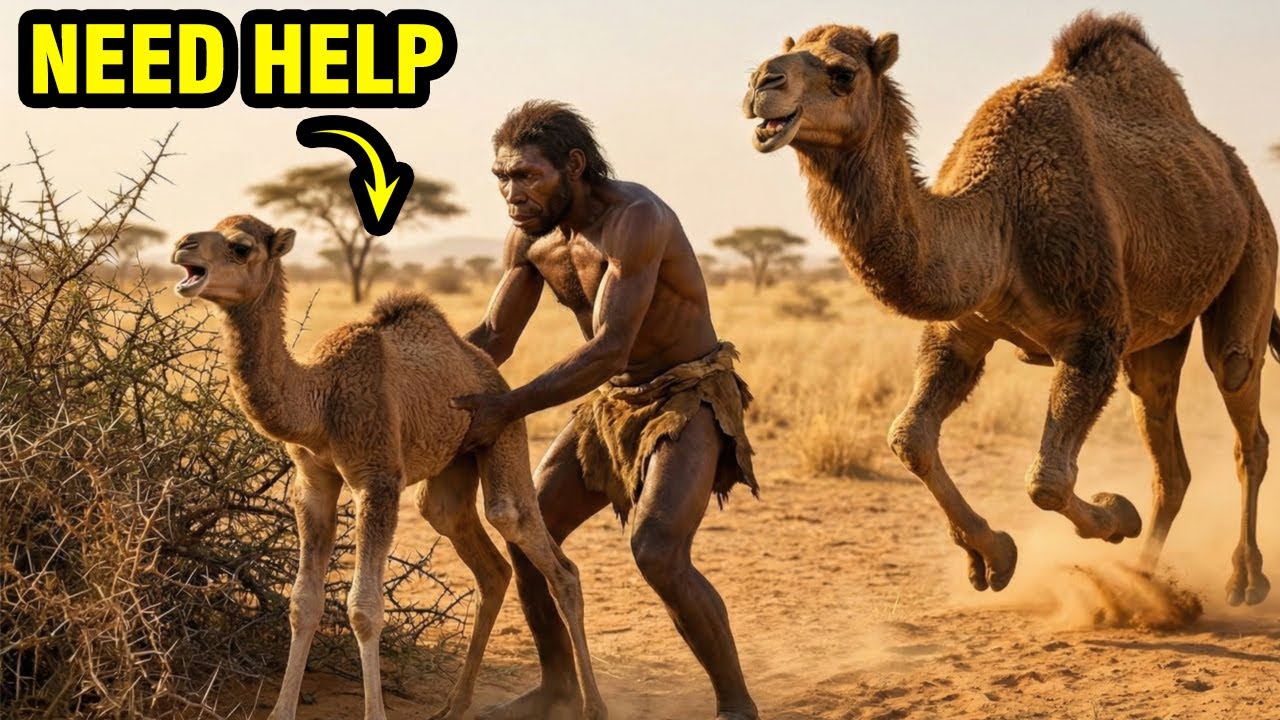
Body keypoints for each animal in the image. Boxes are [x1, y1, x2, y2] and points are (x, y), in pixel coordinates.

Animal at [169, 215, 607, 720]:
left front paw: (372, 710)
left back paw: (593, 706)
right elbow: (303, 603)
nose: (183, 246)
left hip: (506, 434)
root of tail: (489, 370)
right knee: (486, 563)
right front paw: (281, 711)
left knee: (542, 550)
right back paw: (454, 705)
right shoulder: (313, 482)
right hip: (449, 475)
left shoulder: (377, 480)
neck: (320, 398)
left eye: (240, 247)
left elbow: (364, 608)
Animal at [743, 12, 1279, 605]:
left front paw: (1117, 513)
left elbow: (1047, 479)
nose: (762, 82)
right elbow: (910, 438)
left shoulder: (1093, 332)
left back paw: (1242, 579)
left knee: (1243, 412)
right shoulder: (964, 329)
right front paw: (992, 556)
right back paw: (1141, 587)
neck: (1001, 216)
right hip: (1156, 338)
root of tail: (1235, 172)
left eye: (843, 73)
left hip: (1255, 251)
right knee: (1171, 461)